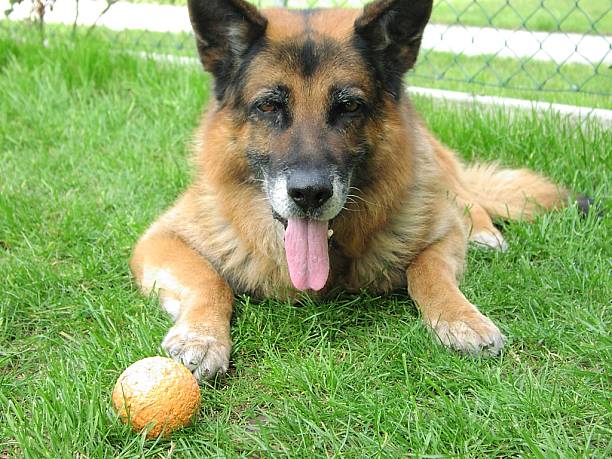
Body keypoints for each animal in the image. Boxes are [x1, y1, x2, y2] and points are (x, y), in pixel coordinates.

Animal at [131, 0, 576, 380]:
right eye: (269, 106)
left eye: (349, 106)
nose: (310, 194)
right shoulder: (161, 239)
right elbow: (211, 281)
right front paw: (202, 336)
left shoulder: (441, 235)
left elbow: (428, 272)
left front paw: (461, 318)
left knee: (465, 198)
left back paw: (483, 231)